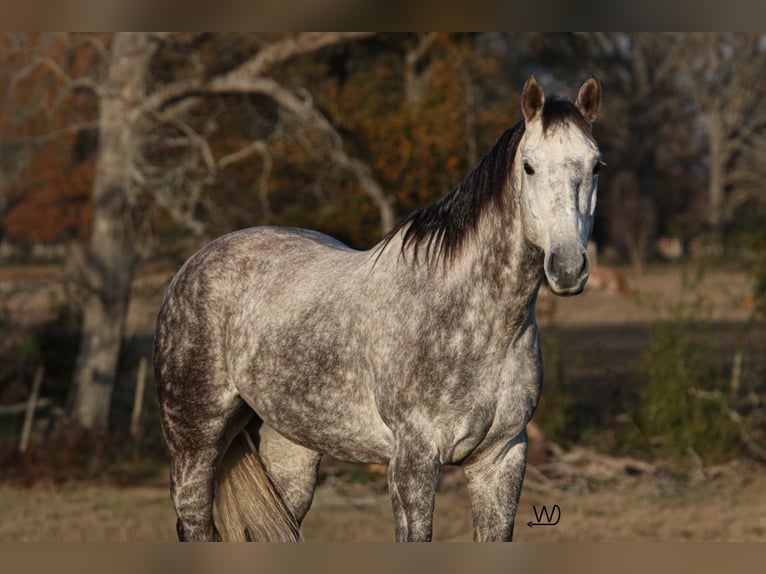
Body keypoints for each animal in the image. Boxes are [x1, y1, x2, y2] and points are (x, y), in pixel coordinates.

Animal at [153, 76, 604, 544]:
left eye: (596, 166)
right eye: (529, 166)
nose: (567, 267)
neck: (478, 324)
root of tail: (195, 263)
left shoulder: (502, 459)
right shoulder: (413, 461)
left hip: (289, 448)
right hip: (194, 441)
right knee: (193, 522)